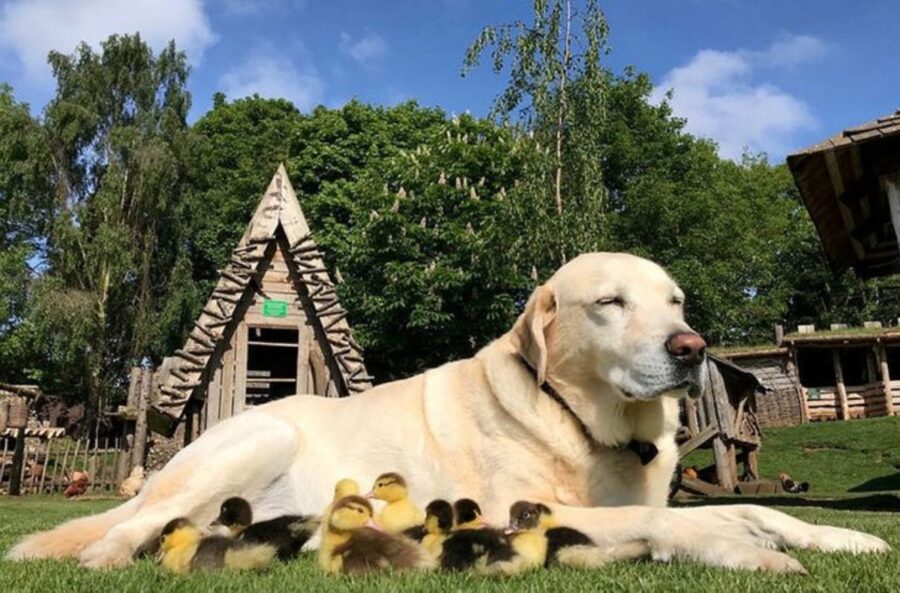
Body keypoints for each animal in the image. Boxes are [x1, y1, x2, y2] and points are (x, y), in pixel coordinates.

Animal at [7, 251, 888, 568]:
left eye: (674, 300)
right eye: (609, 302)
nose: (690, 346)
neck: (590, 427)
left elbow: (762, 508)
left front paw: (839, 535)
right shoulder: (517, 506)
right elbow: (677, 518)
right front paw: (736, 546)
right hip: (256, 435)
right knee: (124, 533)